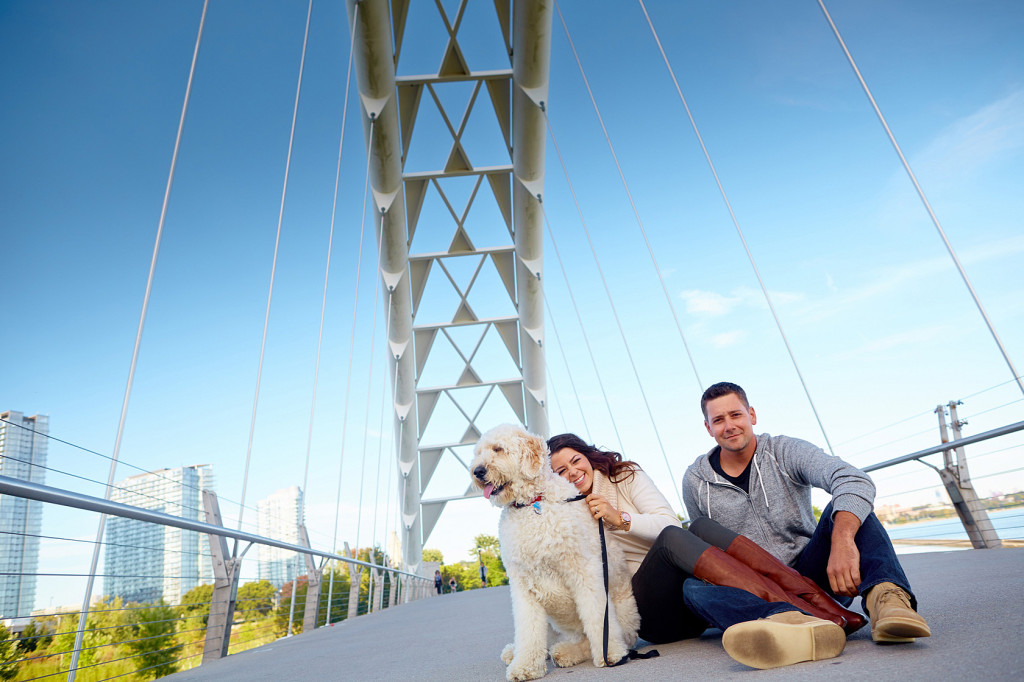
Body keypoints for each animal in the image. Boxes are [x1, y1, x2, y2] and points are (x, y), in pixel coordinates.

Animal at [473, 421, 638, 675]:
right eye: (478, 453)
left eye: (498, 449)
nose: (477, 472)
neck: (533, 504)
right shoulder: (522, 585)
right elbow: (527, 630)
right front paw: (525, 667)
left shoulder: (585, 571)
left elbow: (597, 616)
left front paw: (610, 654)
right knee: (546, 640)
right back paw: (515, 652)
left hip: (624, 614)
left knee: (584, 640)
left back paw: (566, 652)